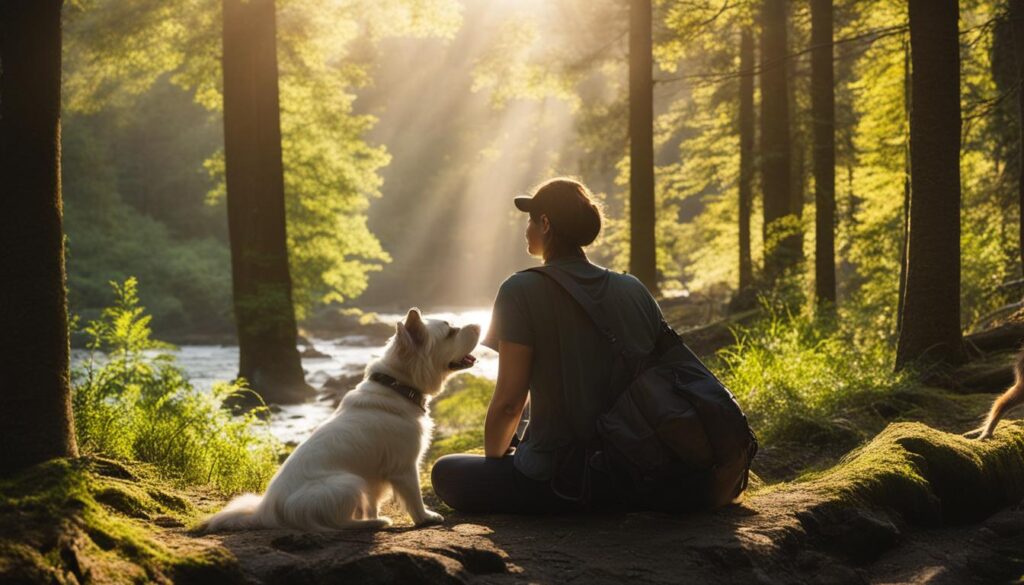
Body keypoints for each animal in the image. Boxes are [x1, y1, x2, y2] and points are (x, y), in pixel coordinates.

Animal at [203, 309, 483, 532]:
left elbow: (372, 503)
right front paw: (425, 518)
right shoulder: (404, 467)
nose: (480, 324)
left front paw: (377, 514)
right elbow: (414, 497)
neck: (396, 386)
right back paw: (375, 524)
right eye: (451, 331)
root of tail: (267, 511)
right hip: (349, 482)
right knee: (337, 524)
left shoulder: (375, 479)